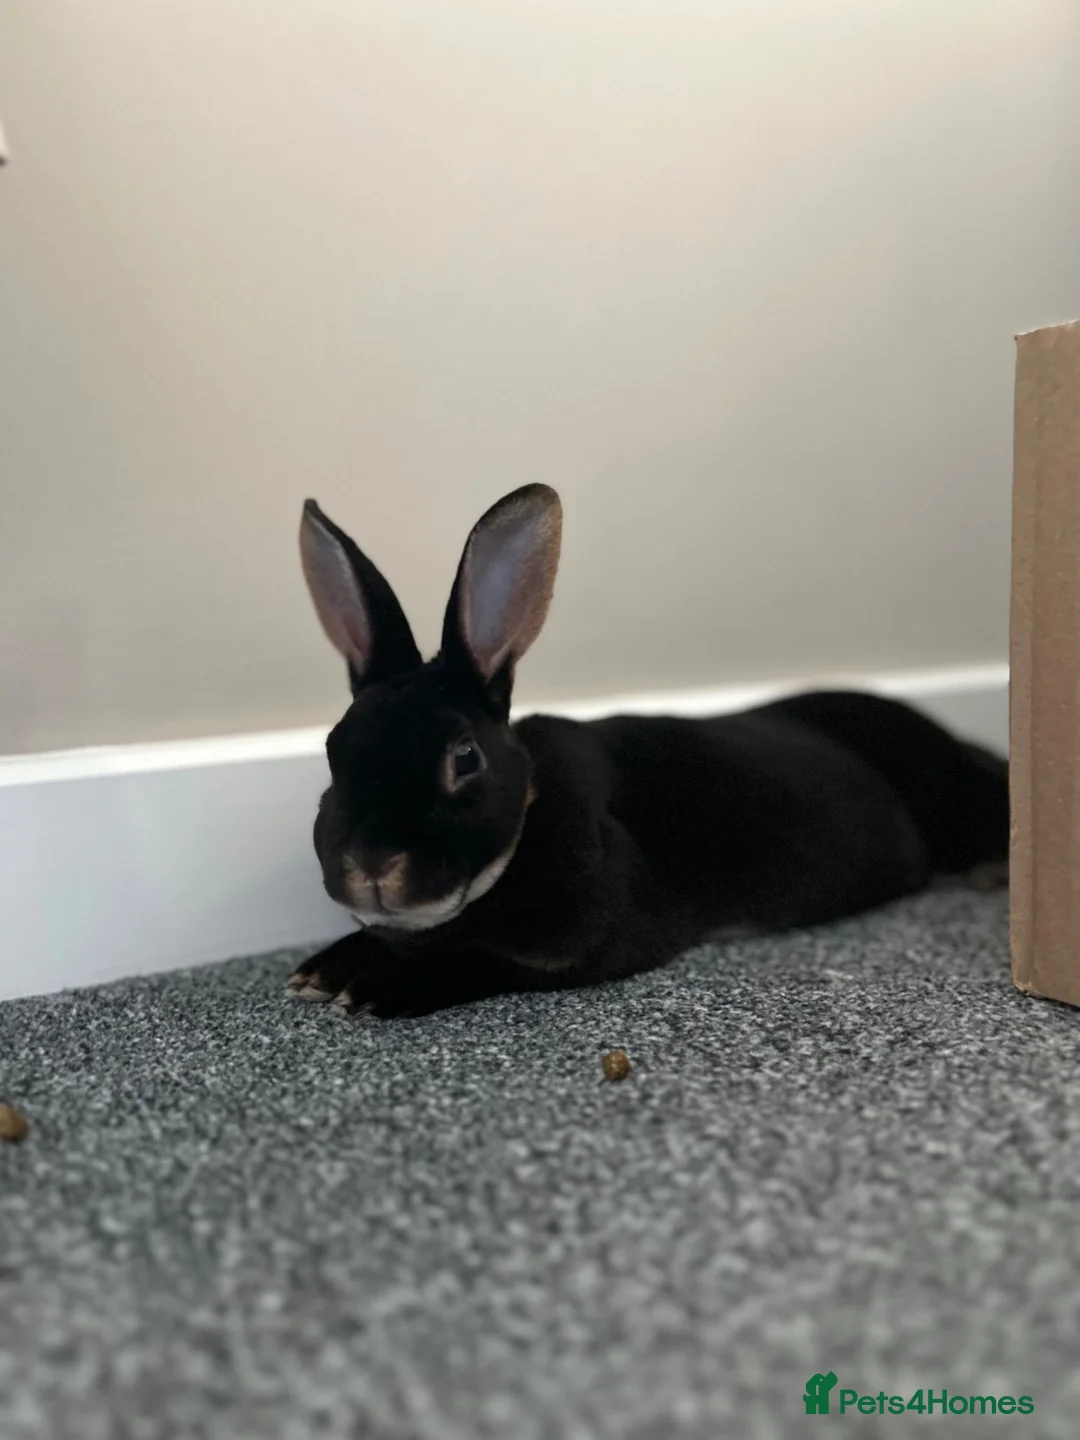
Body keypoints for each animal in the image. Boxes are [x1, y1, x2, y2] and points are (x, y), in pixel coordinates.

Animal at [288, 483, 1009, 1018]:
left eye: (465, 758)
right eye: (333, 752)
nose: (373, 867)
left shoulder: (587, 943)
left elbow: (477, 962)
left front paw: (375, 987)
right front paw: (323, 970)